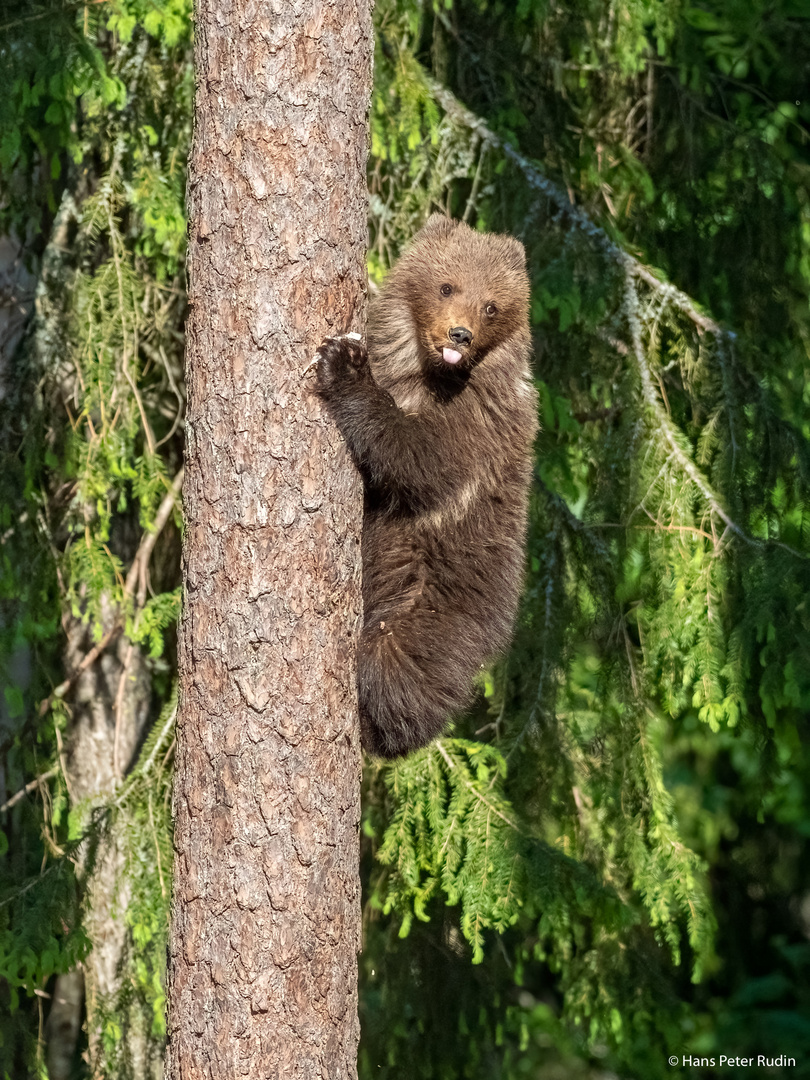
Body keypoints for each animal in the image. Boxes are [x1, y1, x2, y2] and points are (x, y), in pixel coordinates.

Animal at [317, 214, 540, 760]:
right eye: (447, 285)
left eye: (492, 305)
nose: (460, 333)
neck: (426, 375)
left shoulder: (477, 425)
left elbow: (417, 459)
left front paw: (343, 363)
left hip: (438, 606)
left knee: (396, 671)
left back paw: (375, 727)